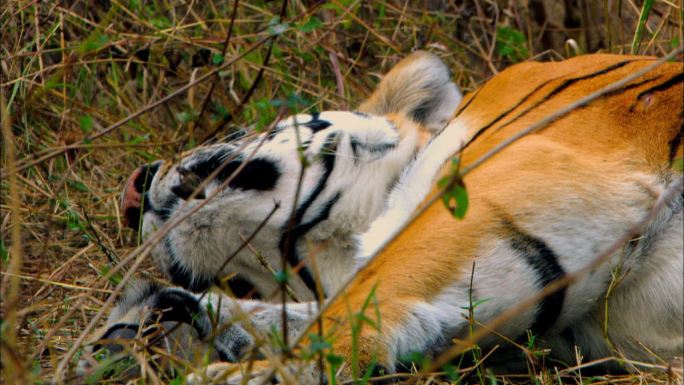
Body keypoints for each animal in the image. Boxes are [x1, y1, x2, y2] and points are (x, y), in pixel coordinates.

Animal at [79, 51, 680, 384]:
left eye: (238, 129)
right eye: (241, 280)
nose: (131, 193)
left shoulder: (508, 181)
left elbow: (355, 304)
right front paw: (151, 326)